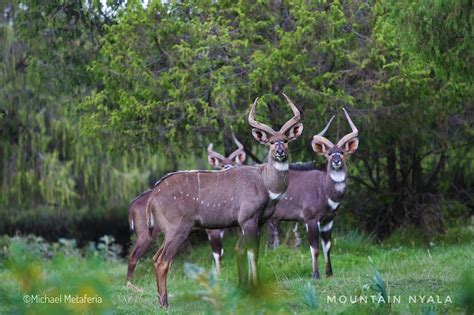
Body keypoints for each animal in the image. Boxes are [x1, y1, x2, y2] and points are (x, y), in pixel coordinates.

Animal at [124, 137, 246, 290]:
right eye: (221, 165)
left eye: (235, 162)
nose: (228, 168)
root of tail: (133, 205)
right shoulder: (212, 230)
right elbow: (218, 253)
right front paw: (219, 276)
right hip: (146, 236)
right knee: (134, 256)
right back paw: (131, 286)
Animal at [145, 94, 304, 308]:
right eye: (271, 142)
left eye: (286, 140)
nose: (280, 152)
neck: (265, 183)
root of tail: (153, 196)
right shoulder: (247, 219)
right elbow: (252, 253)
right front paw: (256, 289)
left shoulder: (257, 221)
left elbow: (244, 251)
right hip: (178, 227)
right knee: (163, 260)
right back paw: (165, 303)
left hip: (168, 230)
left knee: (155, 258)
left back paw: (161, 300)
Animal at [268, 108, 358, 278]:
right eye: (329, 154)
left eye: (342, 152)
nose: (336, 161)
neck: (325, 191)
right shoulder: (310, 219)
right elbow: (314, 248)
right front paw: (315, 274)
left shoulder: (328, 220)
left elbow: (327, 246)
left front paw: (329, 273)